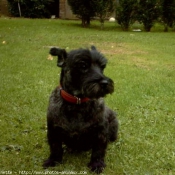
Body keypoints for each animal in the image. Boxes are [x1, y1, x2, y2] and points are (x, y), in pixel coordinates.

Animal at [43, 45, 118, 174]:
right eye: (83, 66)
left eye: (102, 66)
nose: (105, 83)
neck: (77, 102)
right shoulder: (53, 130)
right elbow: (55, 147)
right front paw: (53, 160)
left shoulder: (101, 132)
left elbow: (98, 150)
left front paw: (97, 164)